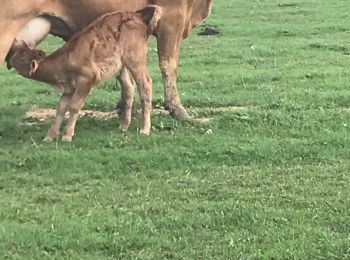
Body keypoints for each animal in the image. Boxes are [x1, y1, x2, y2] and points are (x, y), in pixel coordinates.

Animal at [8, 6, 161, 143]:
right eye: (22, 51)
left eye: (21, 58)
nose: (10, 57)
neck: (63, 62)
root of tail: (136, 15)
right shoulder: (68, 89)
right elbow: (60, 109)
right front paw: (49, 137)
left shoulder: (87, 80)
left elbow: (74, 107)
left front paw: (67, 136)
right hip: (122, 65)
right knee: (129, 86)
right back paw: (124, 126)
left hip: (135, 60)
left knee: (145, 84)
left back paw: (144, 129)